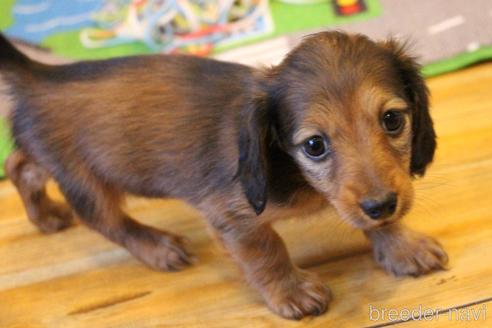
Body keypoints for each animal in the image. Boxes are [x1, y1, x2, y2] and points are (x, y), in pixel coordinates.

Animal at [0, 32, 446, 320]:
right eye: (314, 145)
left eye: (392, 120)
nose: (381, 205)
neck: (286, 165)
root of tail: (37, 76)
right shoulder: (232, 215)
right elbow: (267, 251)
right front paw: (292, 292)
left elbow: (372, 220)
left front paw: (402, 246)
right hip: (86, 180)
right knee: (105, 220)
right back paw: (156, 246)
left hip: (49, 156)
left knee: (19, 165)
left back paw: (46, 217)